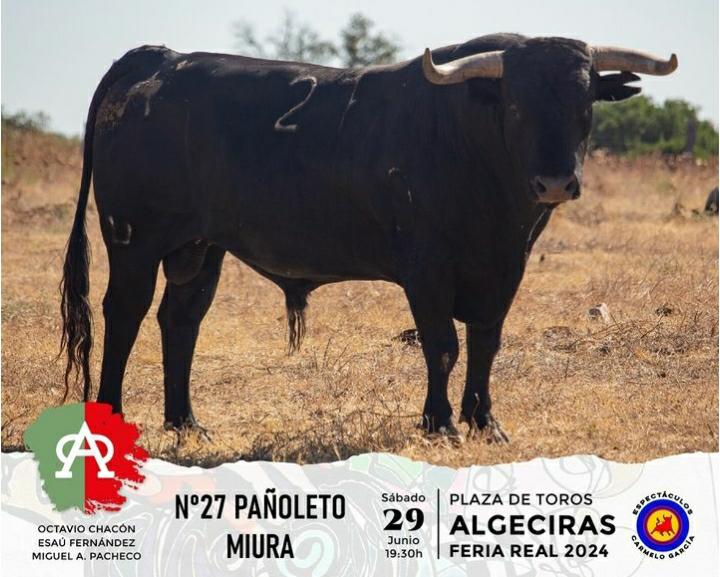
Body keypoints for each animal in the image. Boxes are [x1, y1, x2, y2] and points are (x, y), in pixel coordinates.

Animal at [60, 34, 677, 441]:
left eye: (584, 102)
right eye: (517, 103)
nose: (554, 182)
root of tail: (159, 58)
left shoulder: (506, 268)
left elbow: (486, 344)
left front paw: (485, 421)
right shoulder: (426, 269)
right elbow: (443, 345)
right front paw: (440, 422)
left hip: (200, 247)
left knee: (180, 319)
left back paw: (186, 423)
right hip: (134, 242)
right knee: (125, 314)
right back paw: (115, 419)